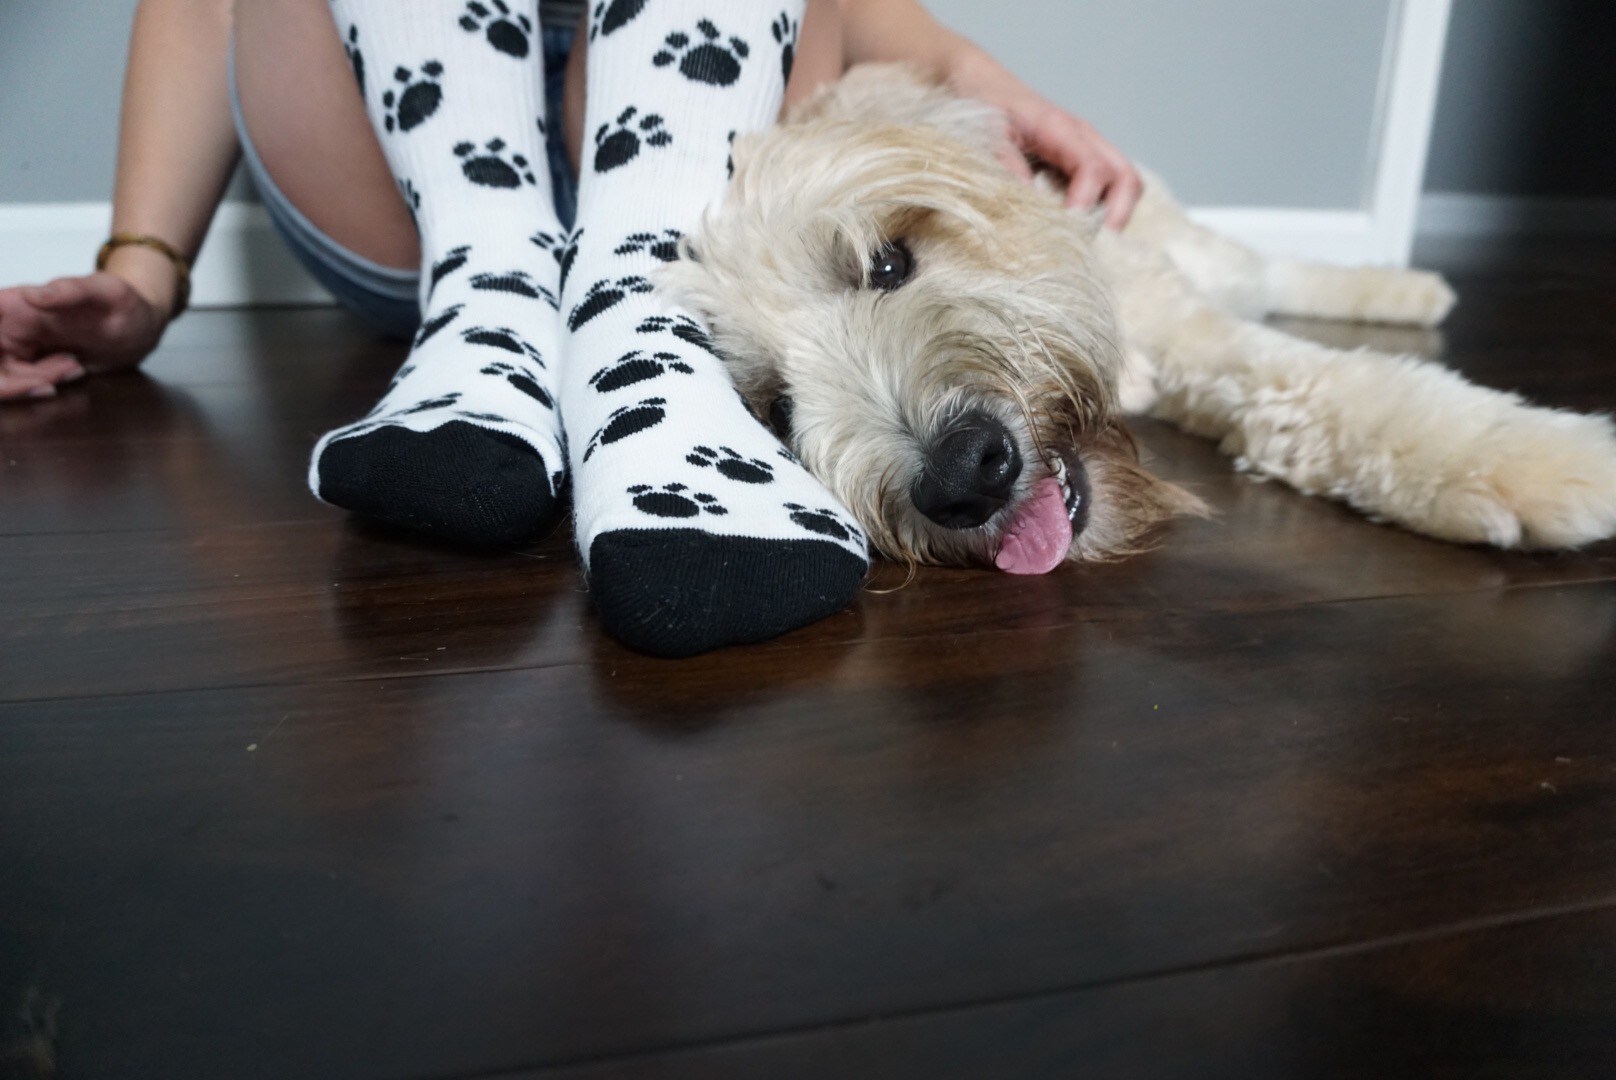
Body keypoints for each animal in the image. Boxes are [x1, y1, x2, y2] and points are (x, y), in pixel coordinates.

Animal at [656, 65, 1616, 572]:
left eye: (886, 262)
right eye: (777, 408)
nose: (964, 475)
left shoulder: (1189, 325)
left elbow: (1336, 388)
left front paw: (1548, 463)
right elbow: (1301, 415)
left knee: (1267, 269)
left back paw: (1409, 289)